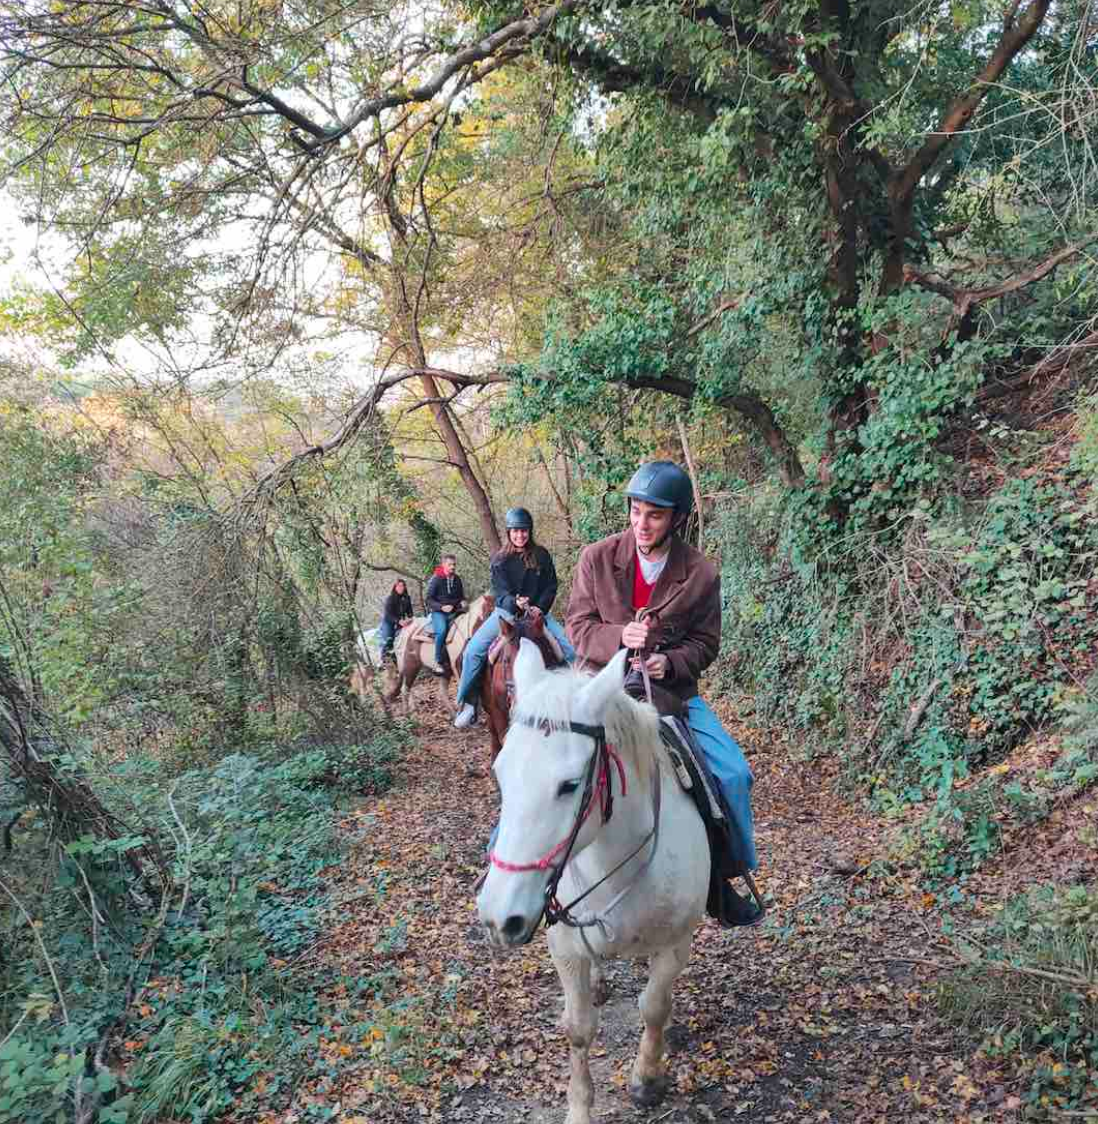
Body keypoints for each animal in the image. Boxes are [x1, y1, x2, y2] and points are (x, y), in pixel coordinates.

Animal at [477, 642, 710, 1124]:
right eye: (500, 772)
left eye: (569, 785)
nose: (498, 918)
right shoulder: (566, 950)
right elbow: (579, 1029)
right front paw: (580, 1108)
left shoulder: (676, 942)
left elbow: (654, 1006)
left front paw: (646, 1079)